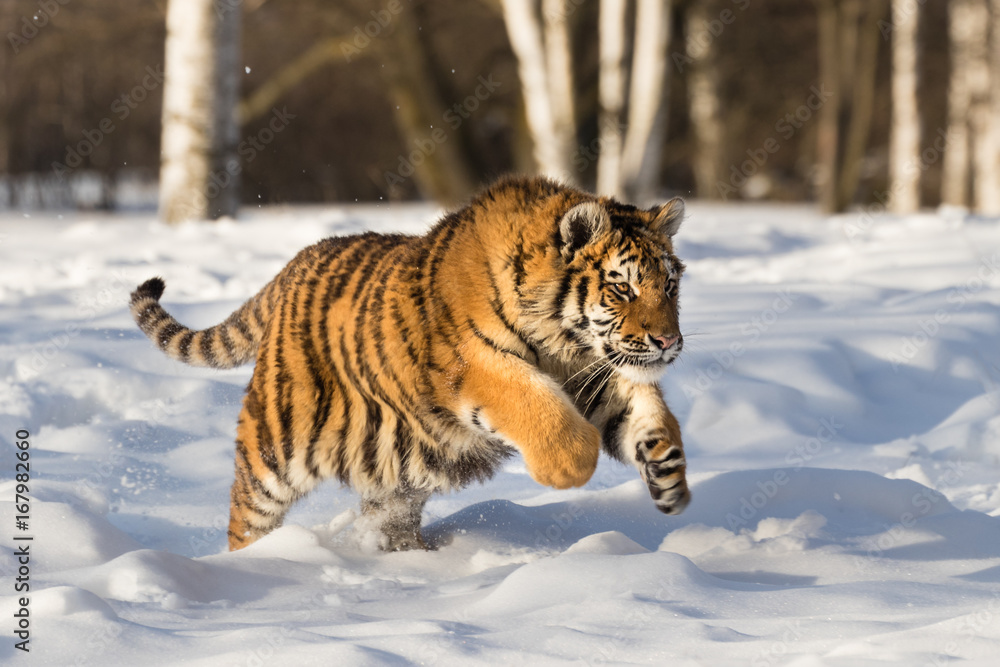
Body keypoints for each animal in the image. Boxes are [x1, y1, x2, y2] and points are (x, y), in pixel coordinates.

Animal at [130, 175, 691, 552]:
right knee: (246, 516)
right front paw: (570, 469)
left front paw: (670, 479)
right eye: (623, 288)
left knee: (385, 519)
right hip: (275, 447)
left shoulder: (594, 374)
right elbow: (544, 412)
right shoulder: (480, 366)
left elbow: (648, 411)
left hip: (392, 472)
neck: (566, 343)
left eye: (669, 285)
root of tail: (288, 270)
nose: (668, 341)